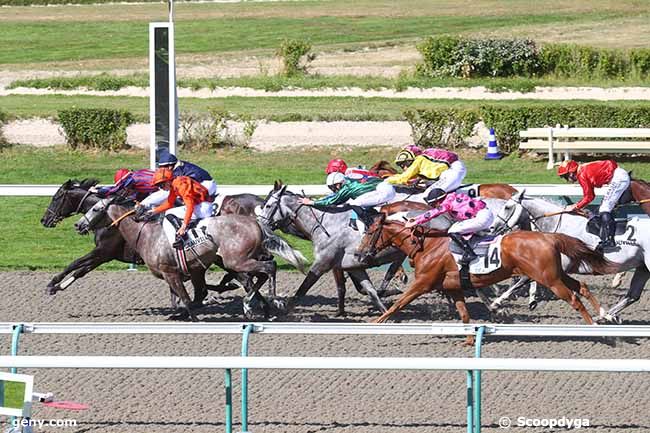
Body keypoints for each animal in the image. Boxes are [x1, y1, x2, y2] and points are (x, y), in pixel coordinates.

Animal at [360, 213, 616, 344]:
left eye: (370, 232)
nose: (360, 253)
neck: (427, 246)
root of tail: (548, 237)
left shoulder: (422, 284)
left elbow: (397, 304)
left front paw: (375, 324)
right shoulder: (453, 287)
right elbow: (464, 314)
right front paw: (469, 340)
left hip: (549, 279)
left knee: (574, 299)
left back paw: (598, 328)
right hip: (556, 274)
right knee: (582, 287)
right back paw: (606, 316)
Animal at [492, 191, 648, 322]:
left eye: (507, 207)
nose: (493, 227)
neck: (559, 225)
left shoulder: (554, 269)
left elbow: (523, 280)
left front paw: (497, 302)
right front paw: (531, 301)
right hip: (643, 268)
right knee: (633, 295)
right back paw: (607, 316)